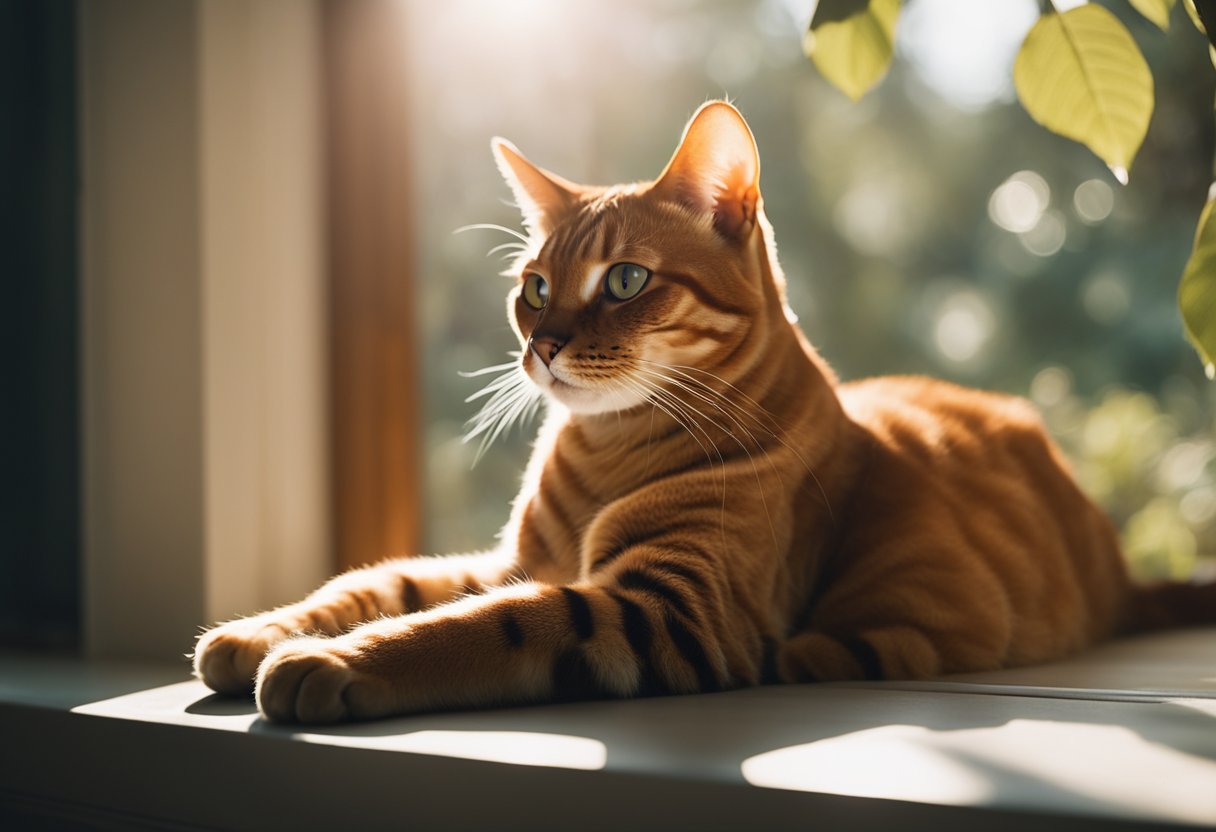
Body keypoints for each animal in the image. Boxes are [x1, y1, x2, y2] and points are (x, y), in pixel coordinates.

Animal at [192, 99, 1216, 720]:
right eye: (533, 286)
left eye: (624, 280)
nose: (542, 344)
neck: (605, 451)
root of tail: (1118, 567)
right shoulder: (509, 562)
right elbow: (380, 585)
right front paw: (255, 632)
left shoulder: (668, 609)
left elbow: (480, 625)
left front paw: (334, 663)